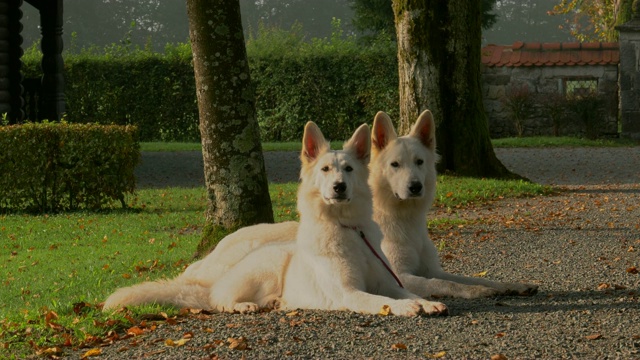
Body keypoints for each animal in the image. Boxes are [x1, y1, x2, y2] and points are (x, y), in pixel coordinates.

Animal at [104, 122, 444, 316]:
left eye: (348, 169)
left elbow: (411, 290)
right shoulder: (349, 292)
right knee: (217, 300)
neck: (349, 229)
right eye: (325, 169)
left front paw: (424, 301)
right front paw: (407, 307)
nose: (339, 186)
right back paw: (243, 305)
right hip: (265, 266)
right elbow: (381, 302)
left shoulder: (389, 279)